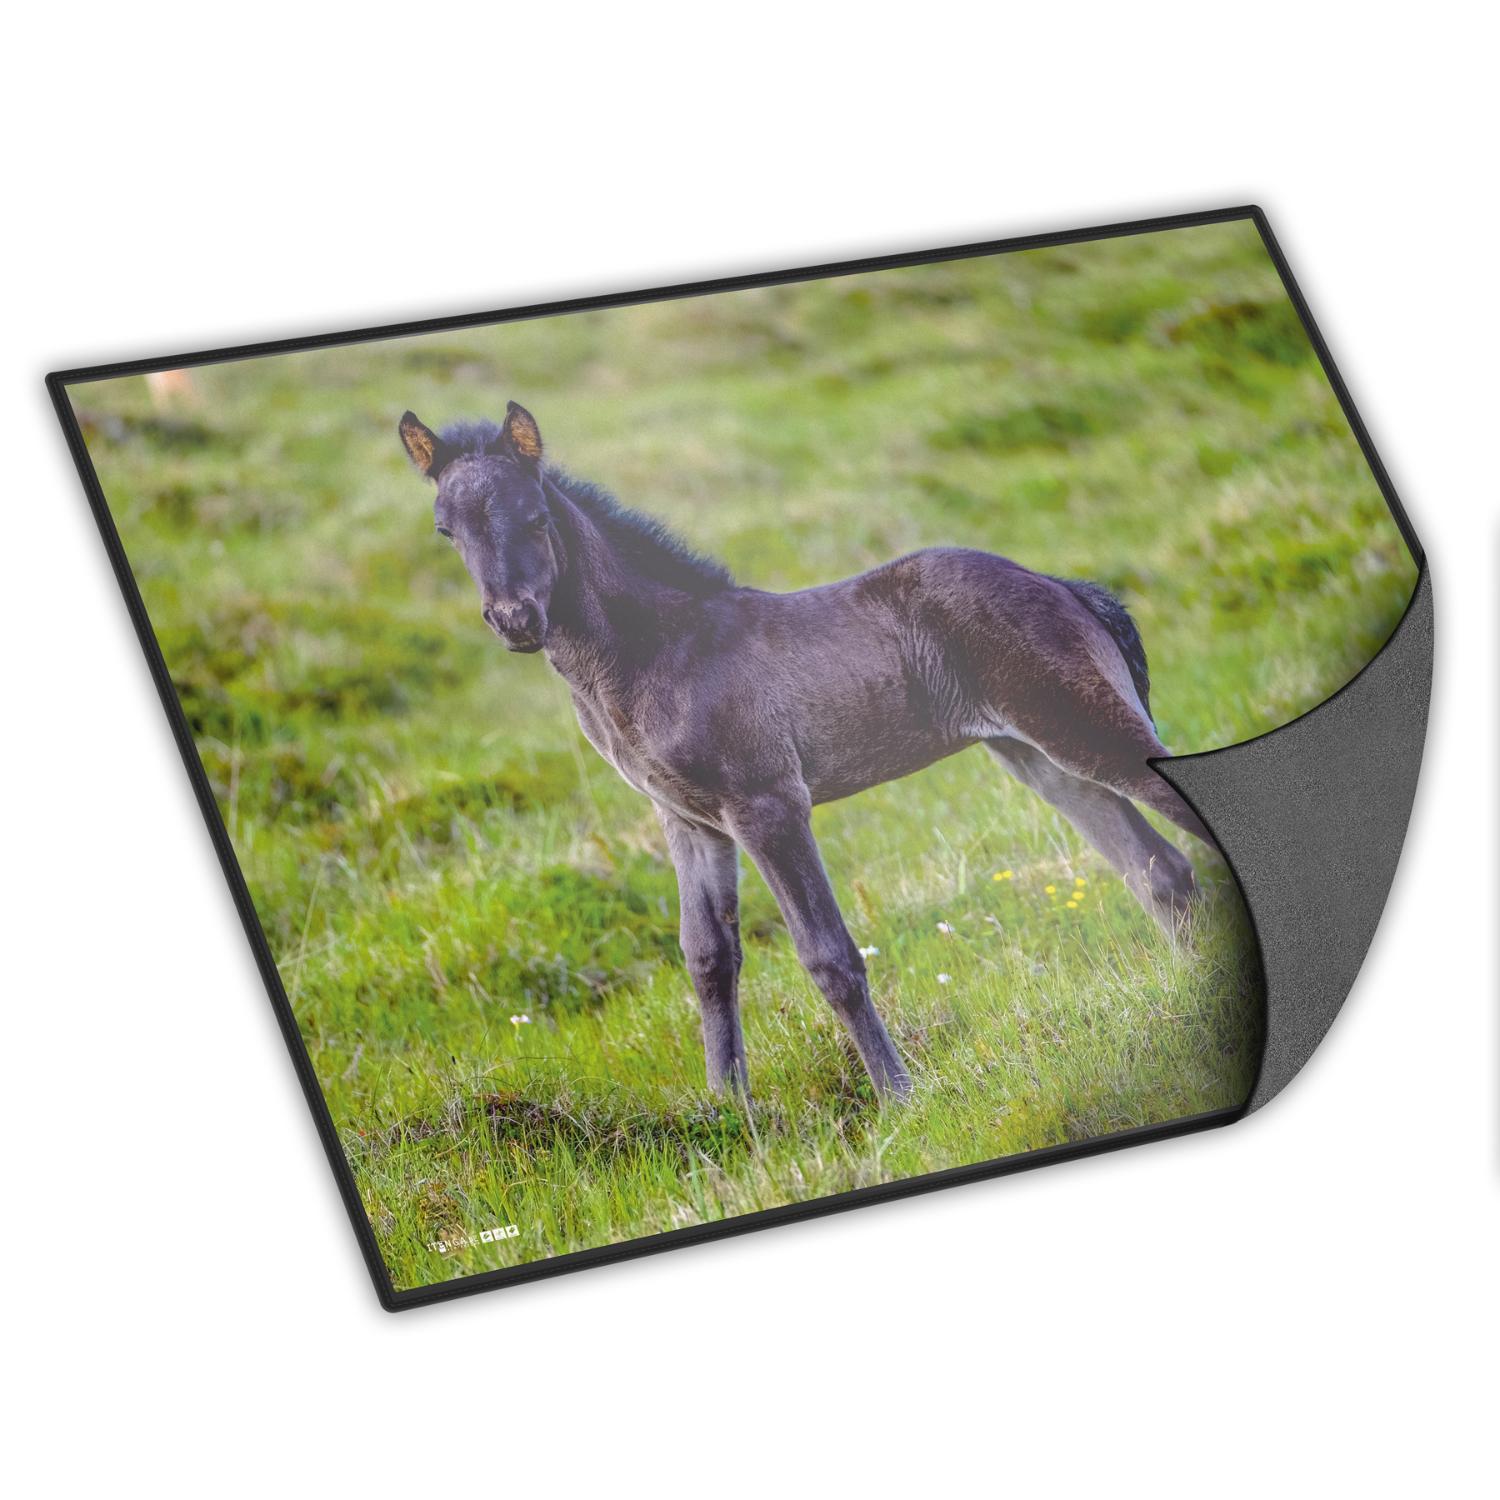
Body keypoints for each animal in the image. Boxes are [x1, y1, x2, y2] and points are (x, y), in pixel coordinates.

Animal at [399, 402, 1212, 1103]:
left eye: (535, 515)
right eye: (446, 530)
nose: (514, 620)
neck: (656, 650)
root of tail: (1058, 584)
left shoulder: (768, 806)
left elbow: (830, 957)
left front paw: (900, 1099)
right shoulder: (687, 823)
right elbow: (708, 959)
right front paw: (729, 1113)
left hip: (1085, 730)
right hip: (1038, 757)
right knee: (1159, 872)